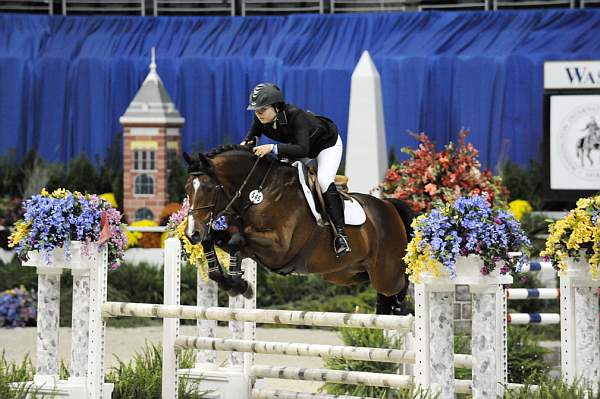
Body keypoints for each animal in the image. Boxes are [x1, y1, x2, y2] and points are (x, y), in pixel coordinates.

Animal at [185, 145, 414, 316]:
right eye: (187, 188)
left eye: (207, 188)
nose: (191, 233)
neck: (259, 192)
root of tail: (389, 206)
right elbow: (219, 240)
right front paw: (232, 282)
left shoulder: (279, 249)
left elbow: (236, 241)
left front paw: (237, 284)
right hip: (345, 273)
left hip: (386, 274)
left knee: (401, 283)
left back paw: (400, 309)